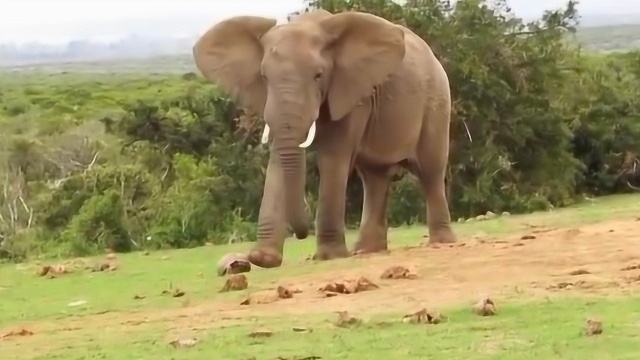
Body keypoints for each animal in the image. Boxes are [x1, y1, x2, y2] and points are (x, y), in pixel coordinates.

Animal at [192, 9, 458, 270]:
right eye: (264, 77)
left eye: (318, 76)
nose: (301, 234)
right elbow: (277, 161)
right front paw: (263, 260)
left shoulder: (350, 94)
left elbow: (333, 159)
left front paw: (330, 256)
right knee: (374, 177)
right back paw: (367, 251)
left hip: (437, 101)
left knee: (430, 171)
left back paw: (442, 243)